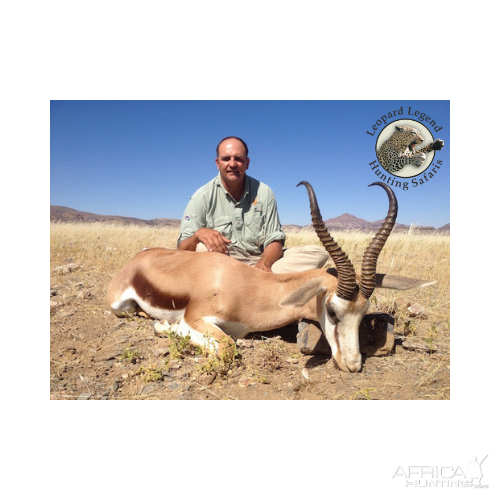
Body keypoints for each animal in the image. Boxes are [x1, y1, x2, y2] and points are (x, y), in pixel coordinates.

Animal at [106, 181, 434, 372]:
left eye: (364, 312)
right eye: (332, 311)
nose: (353, 365)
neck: (248, 287)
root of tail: (137, 259)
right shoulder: (194, 318)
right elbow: (226, 346)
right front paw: (163, 326)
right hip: (120, 308)